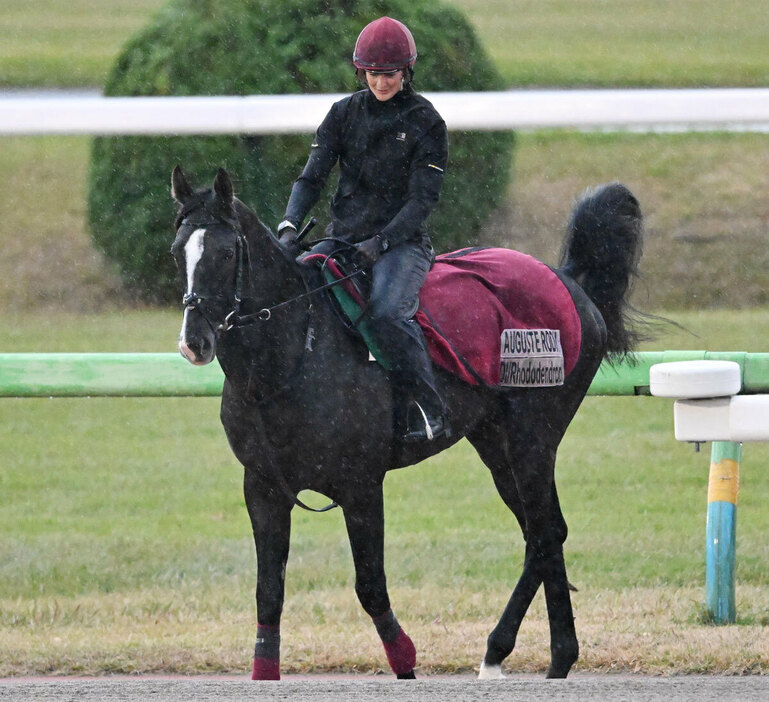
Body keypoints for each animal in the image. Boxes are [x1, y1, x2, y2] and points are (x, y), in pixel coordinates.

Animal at [171, 165, 644, 680]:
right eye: (177, 250)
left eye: (226, 252)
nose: (195, 341)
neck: (293, 353)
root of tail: (570, 282)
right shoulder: (263, 487)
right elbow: (268, 593)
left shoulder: (360, 485)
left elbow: (371, 586)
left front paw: (406, 663)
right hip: (495, 444)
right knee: (546, 532)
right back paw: (527, 654)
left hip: (532, 438)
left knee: (542, 533)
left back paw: (534, 654)